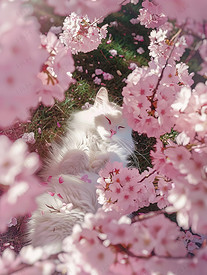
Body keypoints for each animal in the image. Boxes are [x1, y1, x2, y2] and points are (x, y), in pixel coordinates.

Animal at [27, 88, 134, 254]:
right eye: (108, 119)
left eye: (121, 128)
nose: (112, 132)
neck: (98, 143)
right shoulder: (58, 166)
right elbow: (79, 154)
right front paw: (91, 162)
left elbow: (112, 156)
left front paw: (98, 164)